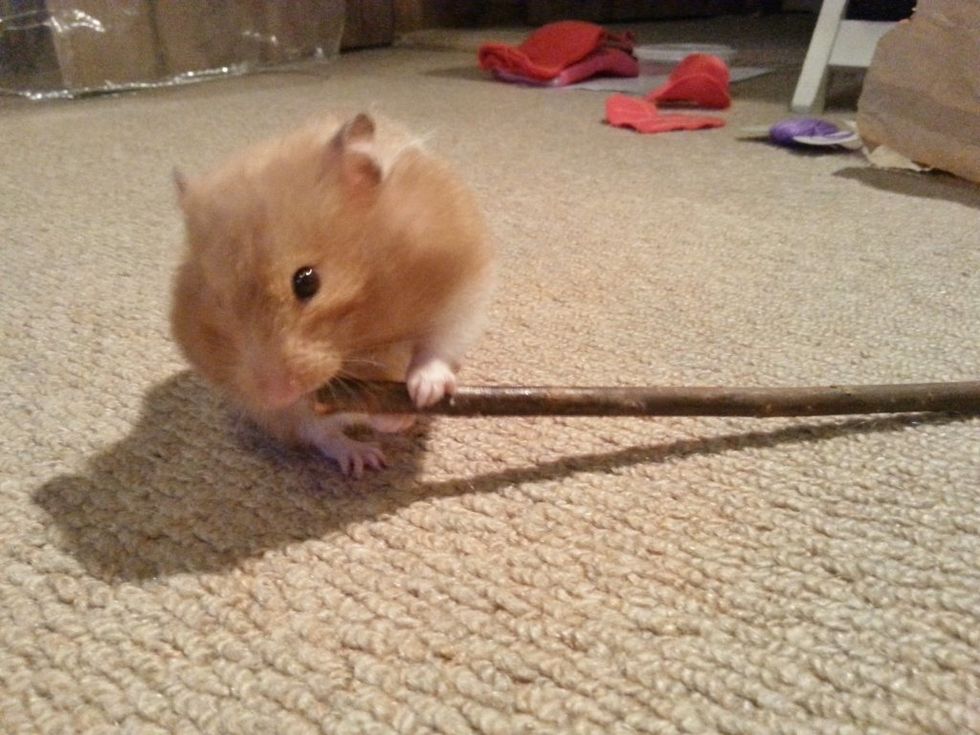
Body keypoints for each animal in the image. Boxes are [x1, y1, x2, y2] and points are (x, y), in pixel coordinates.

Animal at [170, 113, 495, 477]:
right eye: (218, 302)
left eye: (306, 281)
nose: (276, 395)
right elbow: (331, 415)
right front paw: (396, 420)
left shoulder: (462, 296)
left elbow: (435, 348)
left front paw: (425, 394)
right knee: (324, 435)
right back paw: (365, 459)